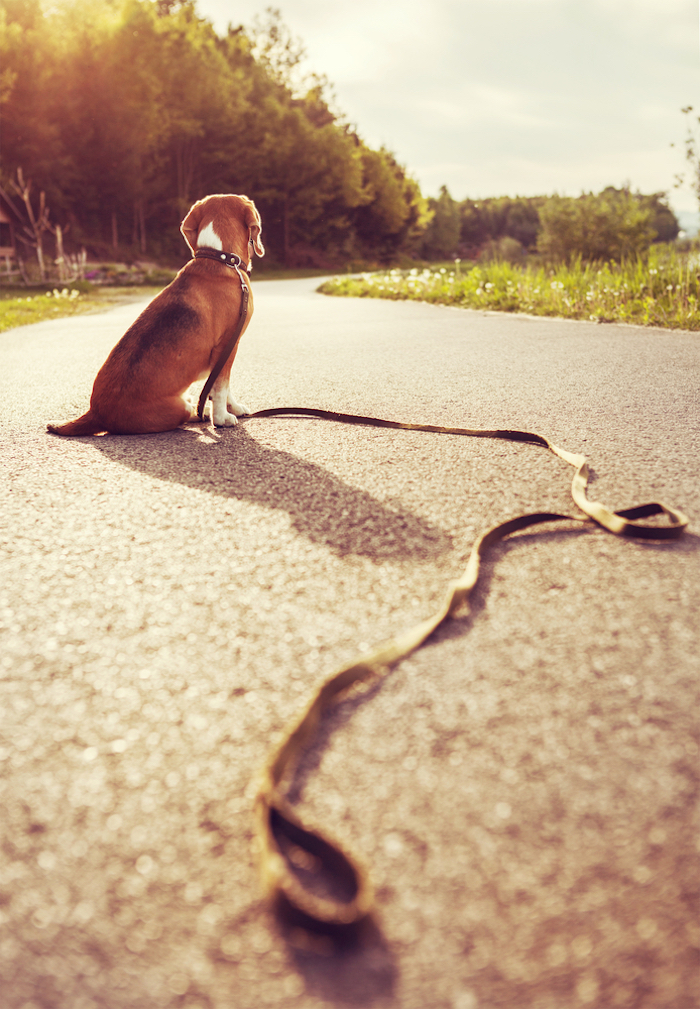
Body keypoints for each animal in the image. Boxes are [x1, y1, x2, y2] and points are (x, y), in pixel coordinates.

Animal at [47, 194, 266, 435]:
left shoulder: (225, 351)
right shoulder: (227, 345)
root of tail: (95, 412)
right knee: (187, 412)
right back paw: (201, 412)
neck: (219, 258)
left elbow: (224, 387)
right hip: (176, 407)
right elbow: (221, 387)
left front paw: (233, 408)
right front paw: (221, 418)